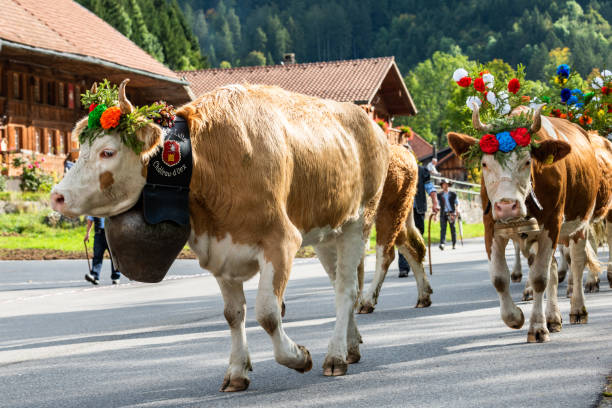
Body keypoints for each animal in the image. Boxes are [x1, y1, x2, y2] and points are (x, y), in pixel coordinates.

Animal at [50, 79, 390, 388]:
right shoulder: (220, 250)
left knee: (346, 290)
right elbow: (233, 314)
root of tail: (365, 119)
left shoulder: (281, 242)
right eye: (81, 149)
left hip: (359, 222)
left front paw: (298, 357)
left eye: (108, 152)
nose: (57, 195)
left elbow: (268, 313)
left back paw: (335, 356)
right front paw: (237, 371)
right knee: (341, 283)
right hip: (327, 233)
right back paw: (350, 346)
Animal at [356, 144, 432, 312]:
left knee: (385, 254)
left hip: (389, 210)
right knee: (412, 248)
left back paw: (367, 301)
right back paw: (423, 296)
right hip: (396, 215)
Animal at [448, 68, 608, 342]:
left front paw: (537, 328)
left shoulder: (551, 224)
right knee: (554, 269)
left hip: (580, 224)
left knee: (577, 262)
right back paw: (554, 317)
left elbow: (540, 278)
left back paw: (577, 308)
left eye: (527, 161)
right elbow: (500, 278)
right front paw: (515, 318)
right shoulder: (491, 227)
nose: (506, 206)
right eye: (484, 164)